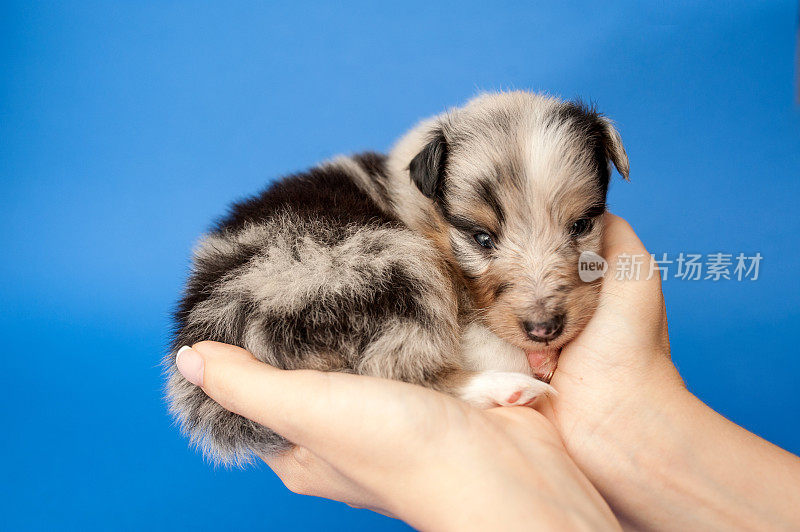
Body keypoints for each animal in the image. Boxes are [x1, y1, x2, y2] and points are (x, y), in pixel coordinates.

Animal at [166, 89, 628, 464]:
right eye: (481, 238)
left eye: (581, 225)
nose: (544, 330)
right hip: (381, 262)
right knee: (402, 369)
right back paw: (508, 387)